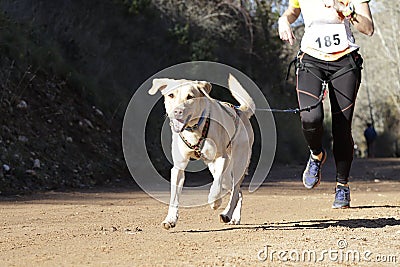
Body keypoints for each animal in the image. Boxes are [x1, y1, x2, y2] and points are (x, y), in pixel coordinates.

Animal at [148, 74, 255, 229]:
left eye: (190, 97)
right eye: (171, 95)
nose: (177, 111)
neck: (194, 129)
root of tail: (241, 111)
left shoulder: (221, 158)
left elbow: (216, 186)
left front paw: (214, 201)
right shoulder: (178, 168)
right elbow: (174, 197)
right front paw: (170, 219)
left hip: (238, 163)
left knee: (234, 190)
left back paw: (227, 214)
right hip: (223, 174)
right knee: (239, 192)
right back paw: (234, 217)